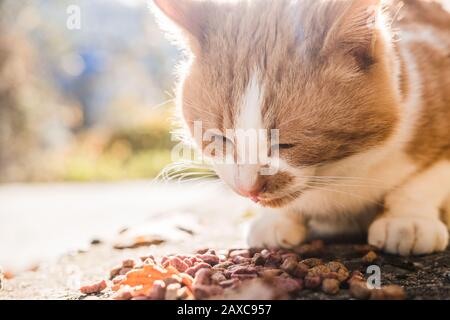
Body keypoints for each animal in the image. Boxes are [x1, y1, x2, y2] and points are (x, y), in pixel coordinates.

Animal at [152, 0, 450, 255]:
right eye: (220, 139)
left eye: (286, 144)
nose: (249, 188)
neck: (340, 177)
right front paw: (276, 220)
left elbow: (425, 179)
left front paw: (409, 219)